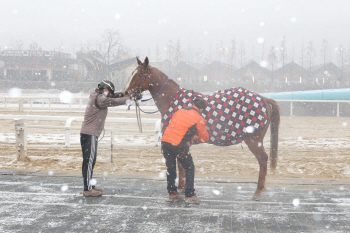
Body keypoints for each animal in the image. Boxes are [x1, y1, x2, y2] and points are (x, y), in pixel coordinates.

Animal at [123, 56, 278, 200]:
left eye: (140, 75)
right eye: (132, 73)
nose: (126, 93)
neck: (172, 99)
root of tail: (263, 98)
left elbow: (179, 164)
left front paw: (181, 188)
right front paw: (182, 187)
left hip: (254, 140)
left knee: (263, 159)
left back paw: (258, 191)